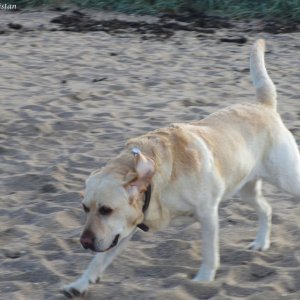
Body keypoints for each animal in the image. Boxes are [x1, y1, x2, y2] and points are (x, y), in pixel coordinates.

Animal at [61, 39, 300, 298]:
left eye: (106, 210)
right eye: (85, 208)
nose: (84, 242)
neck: (156, 179)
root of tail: (263, 105)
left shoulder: (207, 213)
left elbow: (209, 252)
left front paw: (204, 280)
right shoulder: (124, 227)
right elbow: (98, 261)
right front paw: (79, 284)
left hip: (287, 178)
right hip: (244, 187)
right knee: (266, 209)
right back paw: (260, 243)